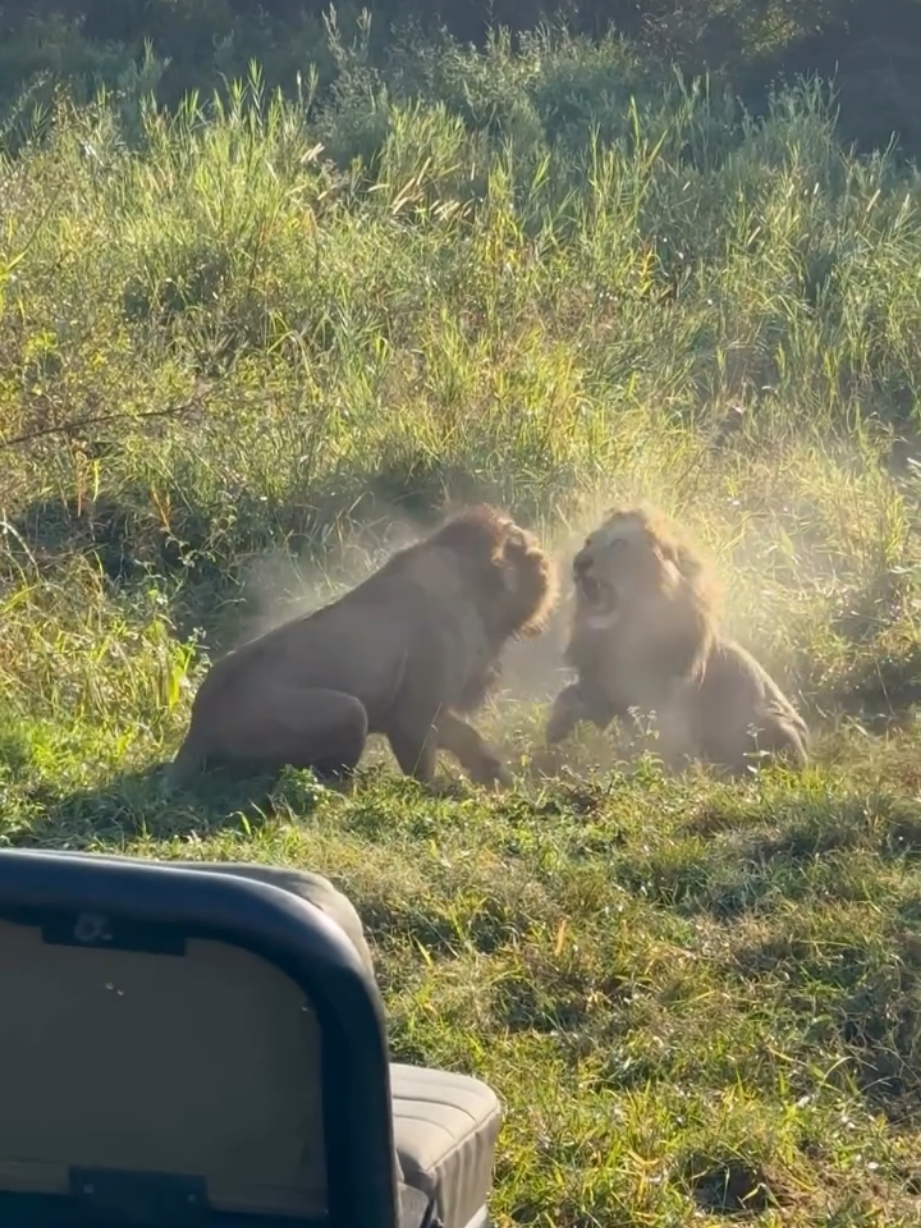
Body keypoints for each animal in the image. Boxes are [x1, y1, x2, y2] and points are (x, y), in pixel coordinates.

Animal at [165, 504, 557, 792]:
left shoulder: (431, 709)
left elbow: (468, 737)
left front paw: (496, 775)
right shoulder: (412, 713)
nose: (547, 561)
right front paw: (444, 790)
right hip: (349, 711)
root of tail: (200, 726)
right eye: (524, 548)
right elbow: (424, 764)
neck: (477, 591)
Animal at [544, 505, 809, 775]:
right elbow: (571, 695)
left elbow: (656, 743)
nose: (579, 562)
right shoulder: (603, 685)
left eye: (619, 543)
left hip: (774, 723)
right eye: (588, 542)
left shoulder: (665, 705)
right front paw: (554, 728)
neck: (623, 635)